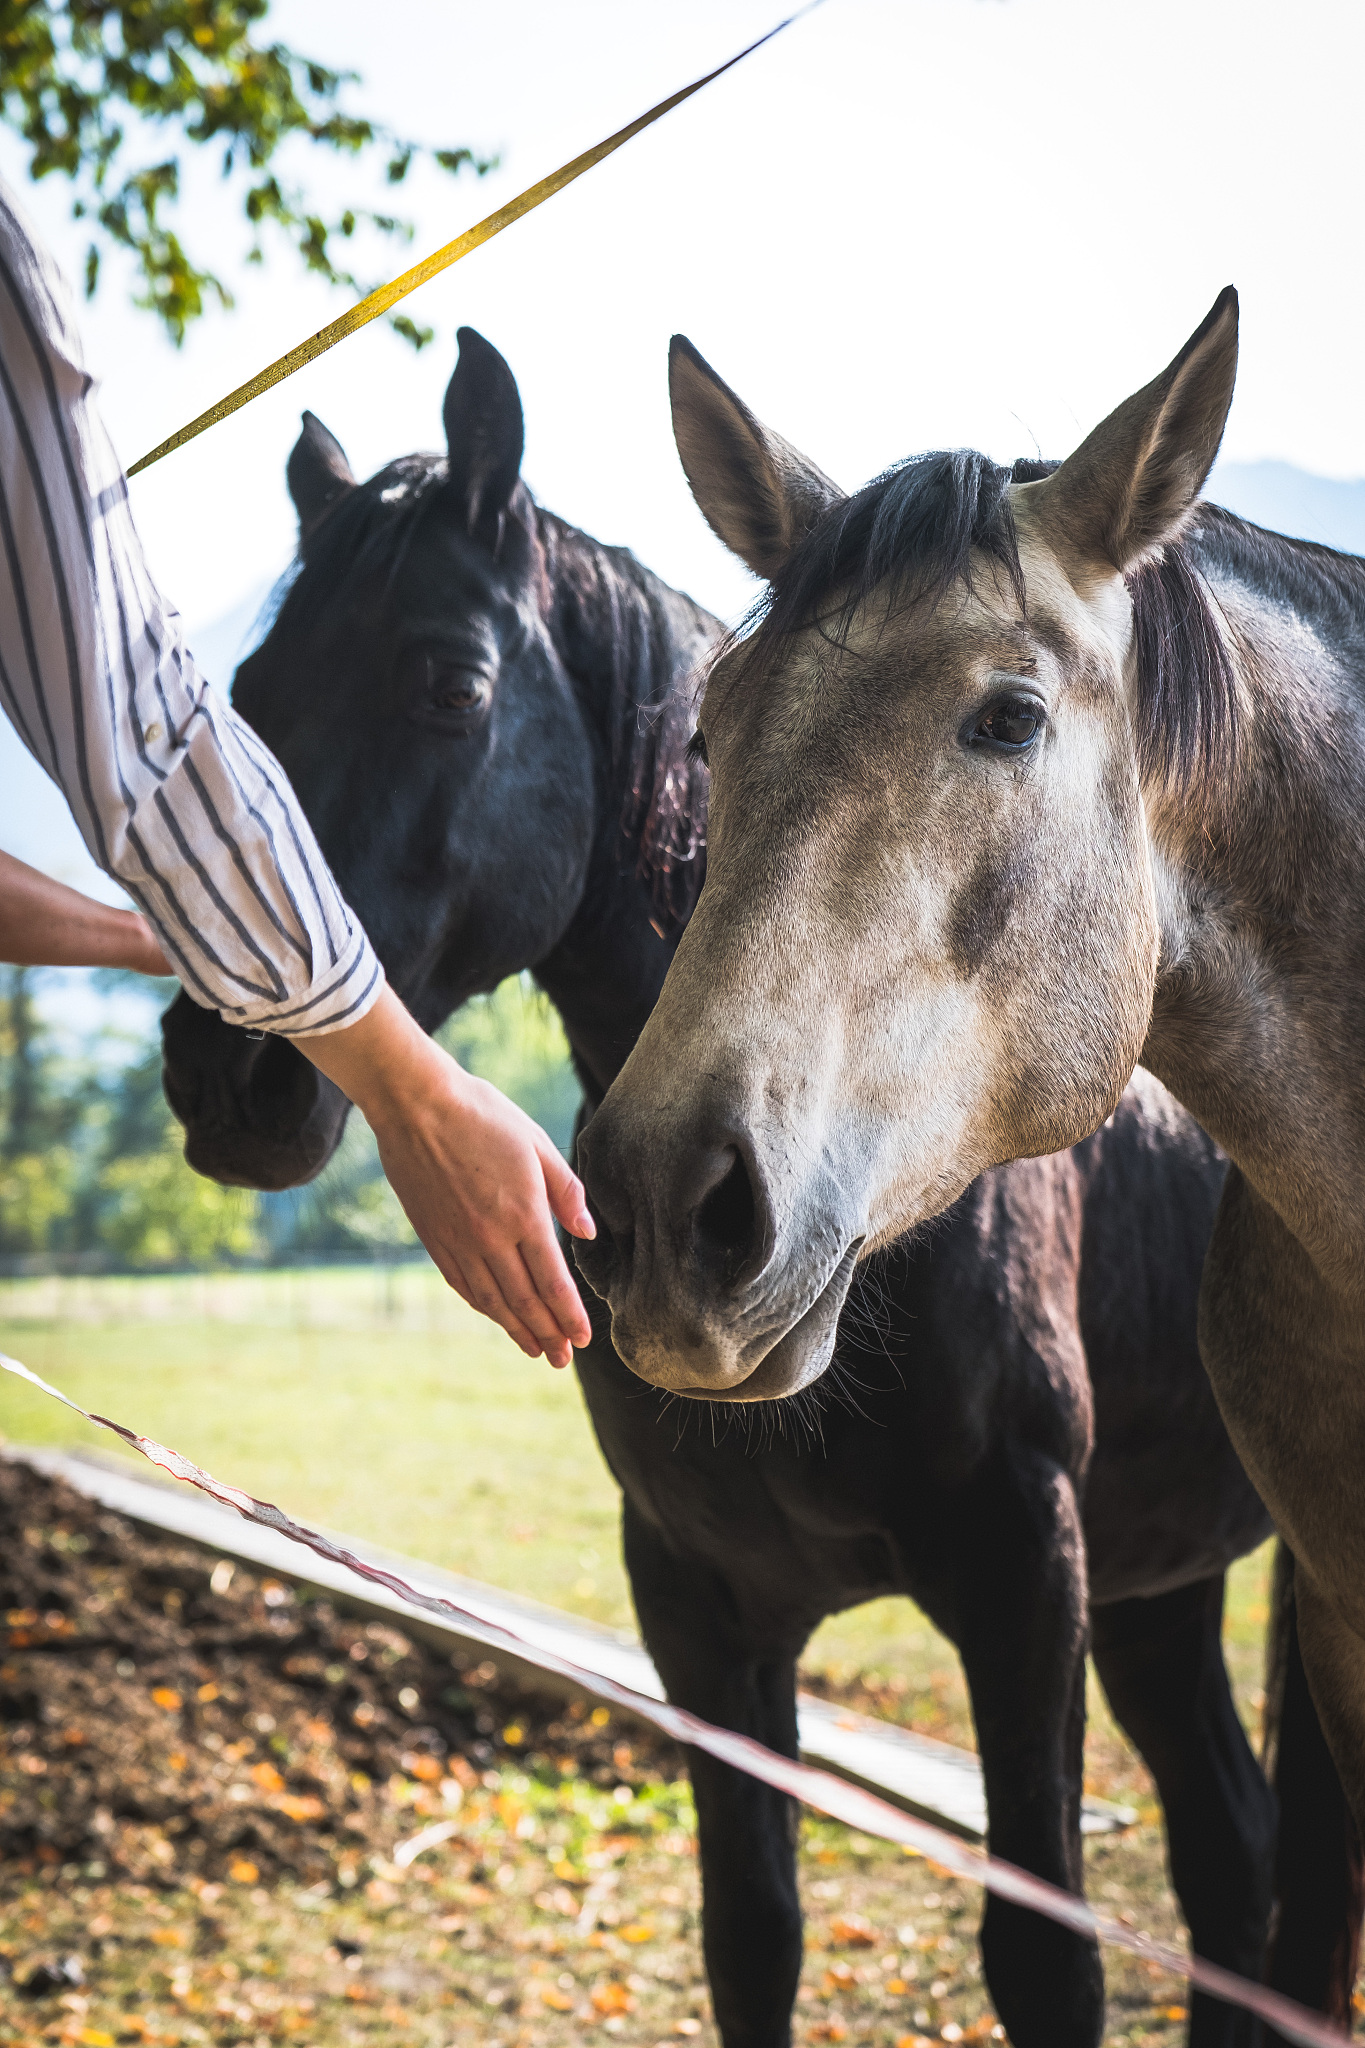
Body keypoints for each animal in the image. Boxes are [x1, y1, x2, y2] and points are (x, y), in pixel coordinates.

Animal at [156, 332, 1348, 2047]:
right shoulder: (702, 1610)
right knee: (1229, 1854)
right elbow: (751, 1935)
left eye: (450, 683)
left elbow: (1043, 1958)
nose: (223, 1070)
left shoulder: (1025, 1587)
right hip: (1161, 1586)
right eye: (250, 698)